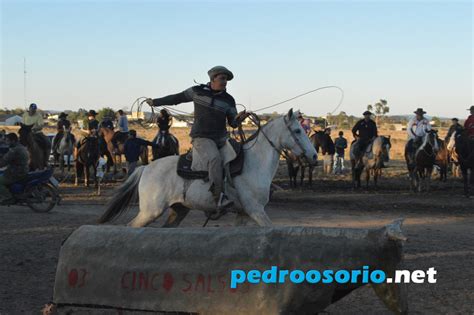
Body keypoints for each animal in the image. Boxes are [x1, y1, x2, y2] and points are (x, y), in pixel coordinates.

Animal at [101, 110, 318, 228]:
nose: (314, 156)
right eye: (297, 130)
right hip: (150, 211)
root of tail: (145, 169)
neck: (255, 164)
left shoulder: (243, 213)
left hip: (177, 210)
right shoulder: (256, 210)